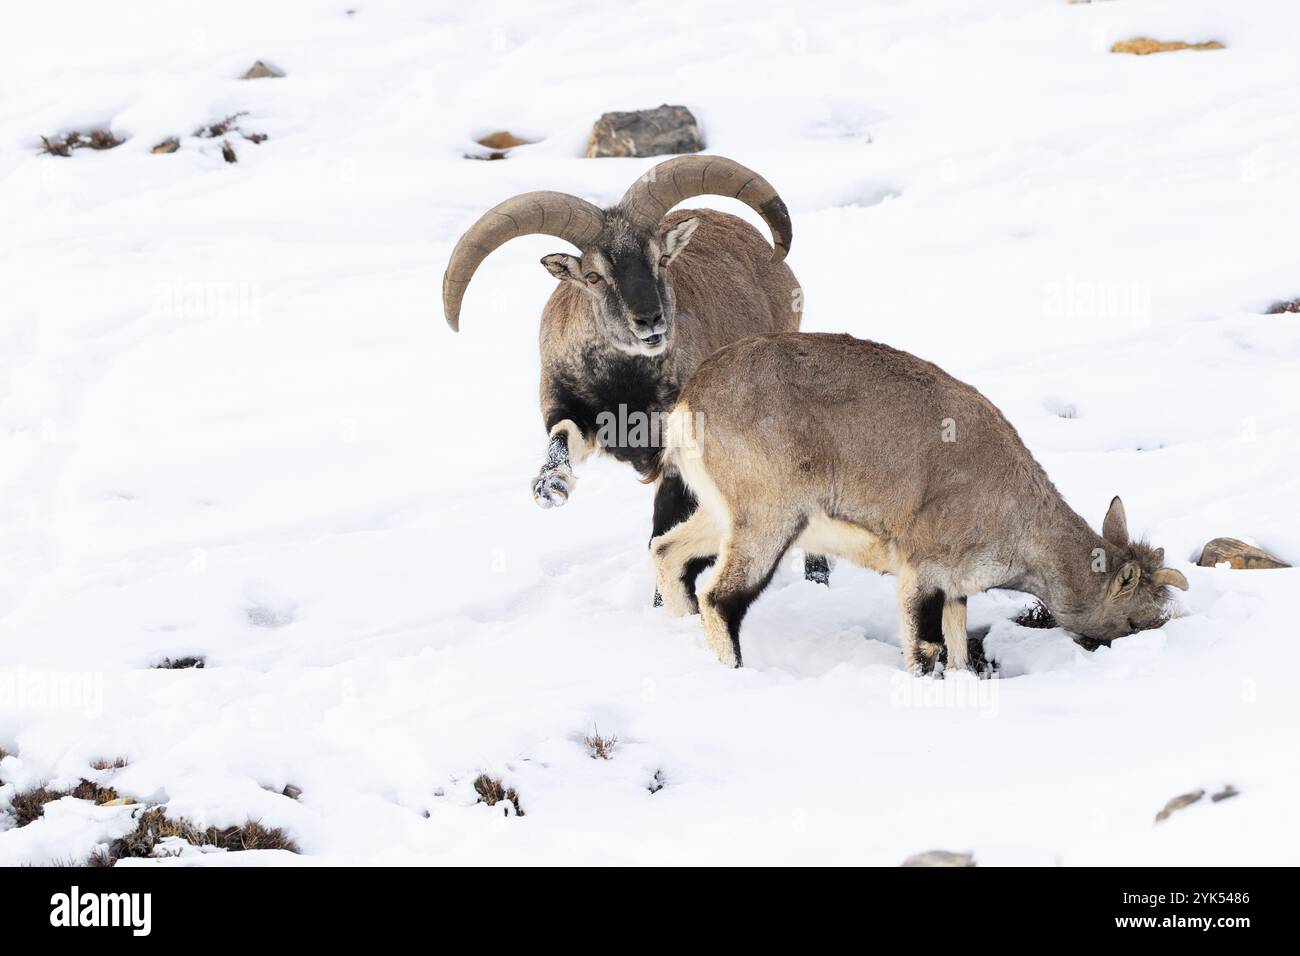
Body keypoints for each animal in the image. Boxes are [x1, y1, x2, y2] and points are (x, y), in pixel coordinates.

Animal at [447, 157, 826, 598]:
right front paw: (552, 486)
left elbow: (665, 532)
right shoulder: (570, 408)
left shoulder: (679, 452)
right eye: (593, 276)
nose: (649, 320)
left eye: (660, 259)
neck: (624, 389)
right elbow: (561, 438)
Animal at [650, 332, 1190, 671]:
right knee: (720, 598)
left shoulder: (954, 588)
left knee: (668, 551)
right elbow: (927, 649)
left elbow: (957, 647)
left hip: (723, 516)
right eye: (1138, 620)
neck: (1015, 516)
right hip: (769, 522)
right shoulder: (922, 574)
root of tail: (691, 402)